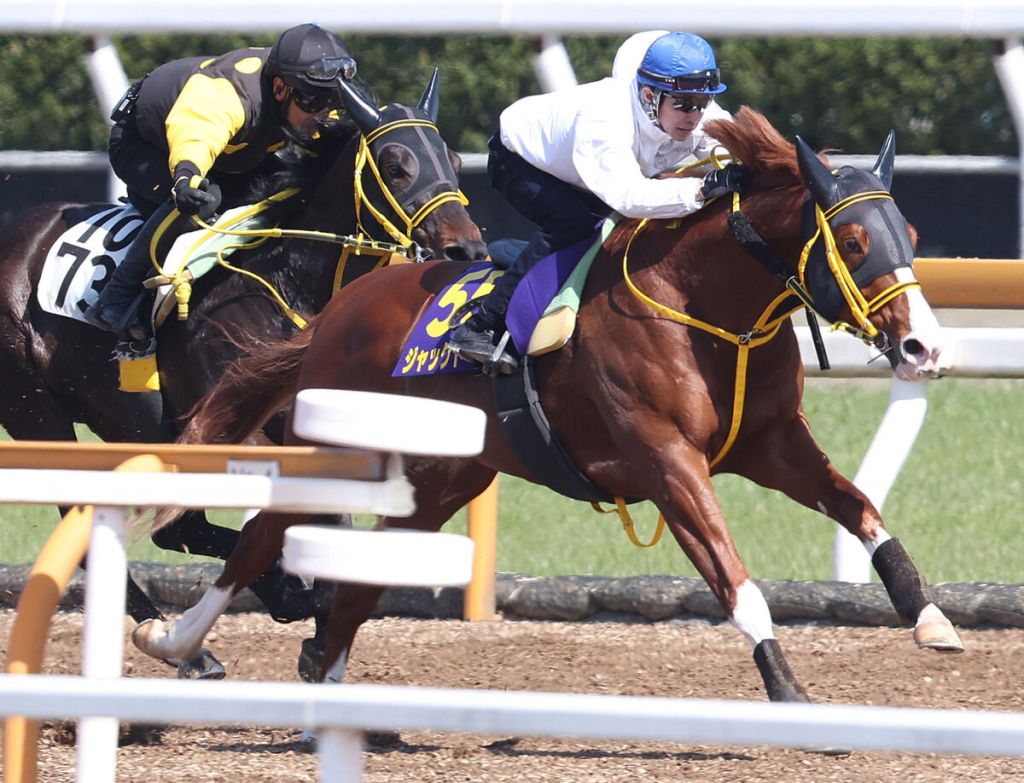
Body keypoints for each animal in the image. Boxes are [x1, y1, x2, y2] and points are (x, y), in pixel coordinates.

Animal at [0, 70, 486, 677]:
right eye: (395, 164)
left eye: (455, 160)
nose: (466, 248)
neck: (288, 280)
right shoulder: (238, 420)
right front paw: (301, 601)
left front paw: (318, 629)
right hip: (35, 412)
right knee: (89, 518)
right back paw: (188, 636)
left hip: (127, 422)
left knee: (178, 525)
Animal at [132, 107, 963, 702]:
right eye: (853, 242)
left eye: (910, 232)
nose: (923, 345)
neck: (706, 305)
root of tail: (339, 308)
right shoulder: (668, 461)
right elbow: (733, 576)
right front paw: (786, 686)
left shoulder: (772, 442)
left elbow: (862, 509)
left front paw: (931, 617)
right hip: (341, 442)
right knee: (261, 534)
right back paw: (176, 642)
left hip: (444, 476)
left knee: (366, 569)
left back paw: (326, 675)